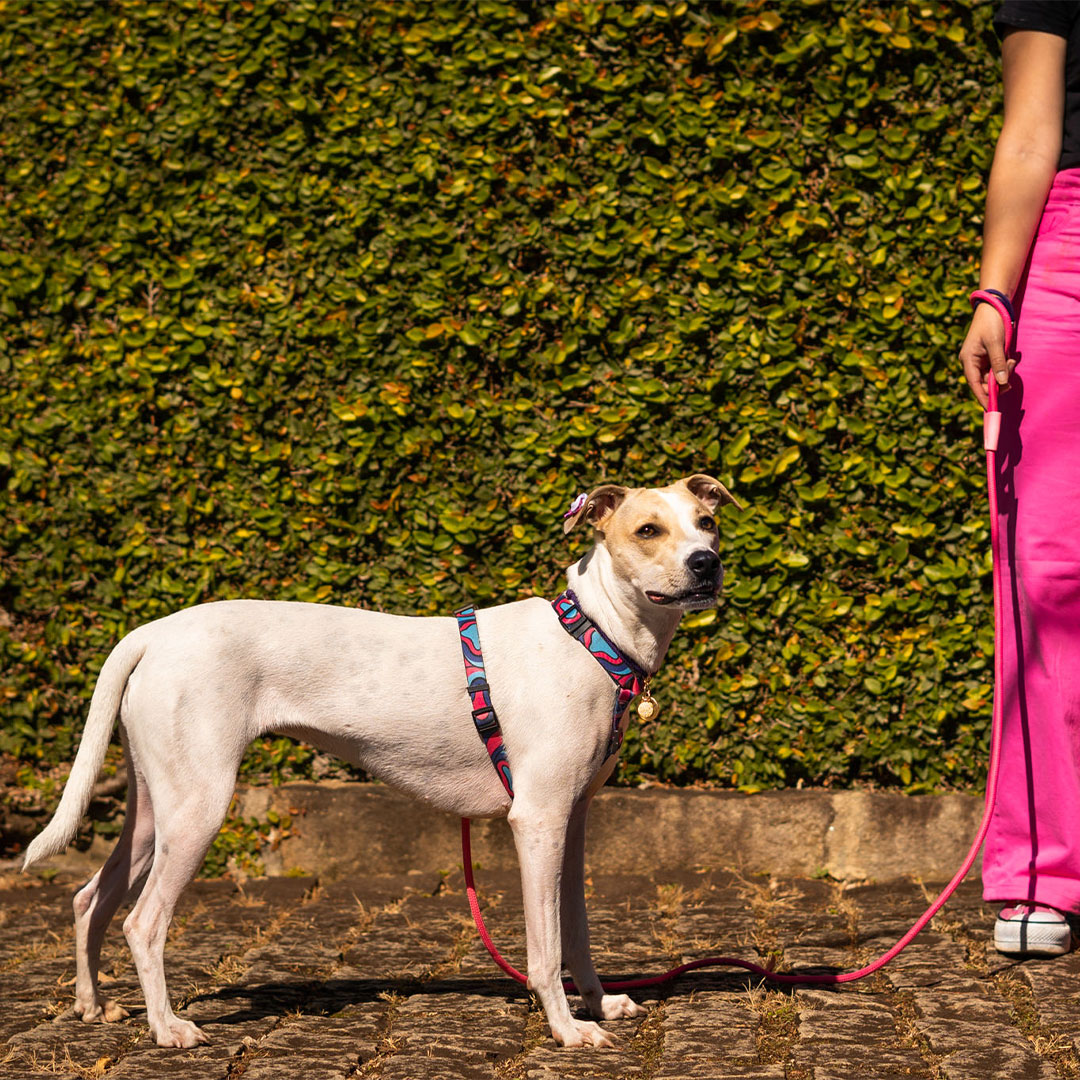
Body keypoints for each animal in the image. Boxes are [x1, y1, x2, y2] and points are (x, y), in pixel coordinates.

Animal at [25, 473, 738, 1045]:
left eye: (706, 522)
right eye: (648, 529)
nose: (706, 563)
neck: (591, 635)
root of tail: (153, 631)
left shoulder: (573, 822)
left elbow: (577, 930)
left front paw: (599, 1003)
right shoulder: (537, 822)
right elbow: (543, 949)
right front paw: (566, 1029)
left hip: (156, 810)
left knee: (90, 897)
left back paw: (93, 1008)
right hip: (198, 810)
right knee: (142, 922)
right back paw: (168, 1029)